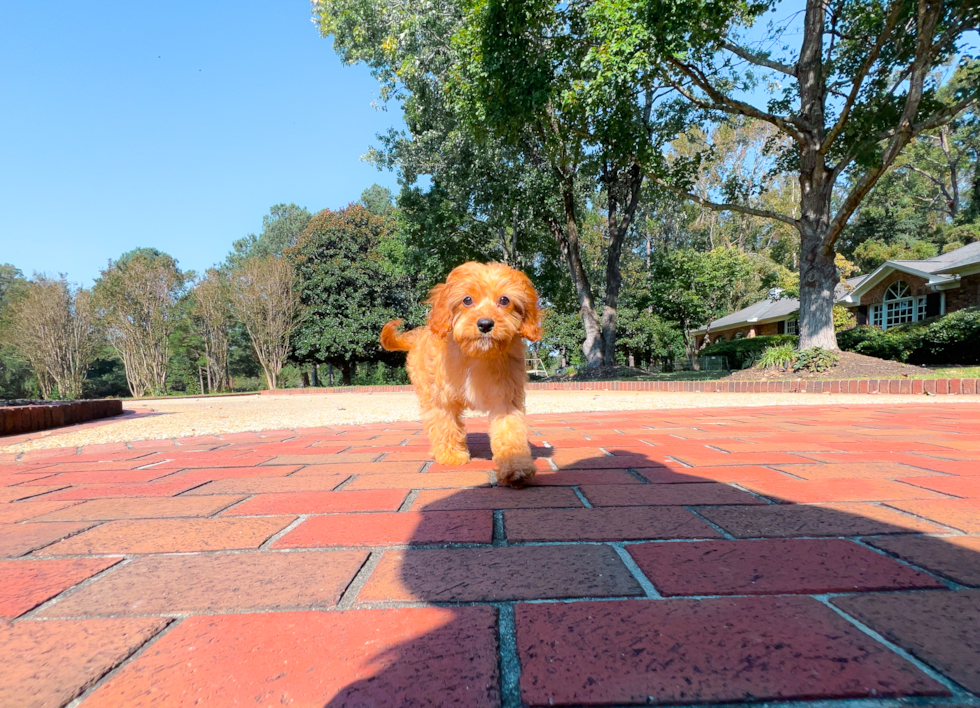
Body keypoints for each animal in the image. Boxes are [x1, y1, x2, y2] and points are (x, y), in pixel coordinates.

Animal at [378, 260, 544, 486]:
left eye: (504, 300)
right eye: (467, 300)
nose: (485, 324)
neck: (477, 355)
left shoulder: (507, 397)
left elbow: (510, 430)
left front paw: (516, 466)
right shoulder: (442, 398)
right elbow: (445, 424)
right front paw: (451, 454)